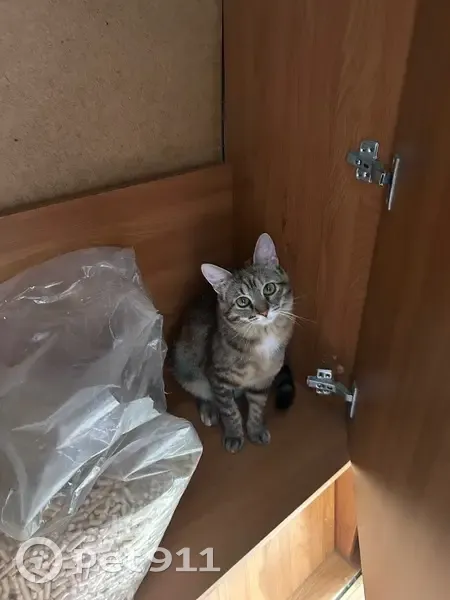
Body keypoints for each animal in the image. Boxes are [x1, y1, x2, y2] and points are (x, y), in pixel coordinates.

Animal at [172, 233, 295, 453]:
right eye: (243, 301)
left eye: (269, 288)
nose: (264, 311)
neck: (264, 336)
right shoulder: (217, 378)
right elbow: (230, 412)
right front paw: (234, 434)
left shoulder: (263, 380)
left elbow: (257, 408)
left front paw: (255, 430)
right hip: (186, 366)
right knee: (202, 391)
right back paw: (209, 409)